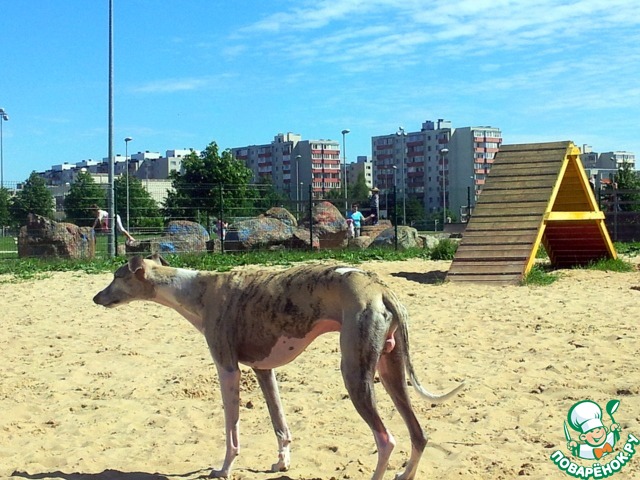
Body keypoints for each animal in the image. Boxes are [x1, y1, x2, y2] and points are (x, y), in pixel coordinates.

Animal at [93, 255, 464, 480]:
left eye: (115, 276)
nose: (96, 298)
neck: (198, 289)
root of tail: (381, 288)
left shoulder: (228, 369)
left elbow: (231, 430)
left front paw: (224, 469)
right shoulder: (263, 370)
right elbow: (280, 424)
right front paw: (282, 462)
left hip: (355, 374)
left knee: (387, 439)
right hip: (390, 370)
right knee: (418, 434)